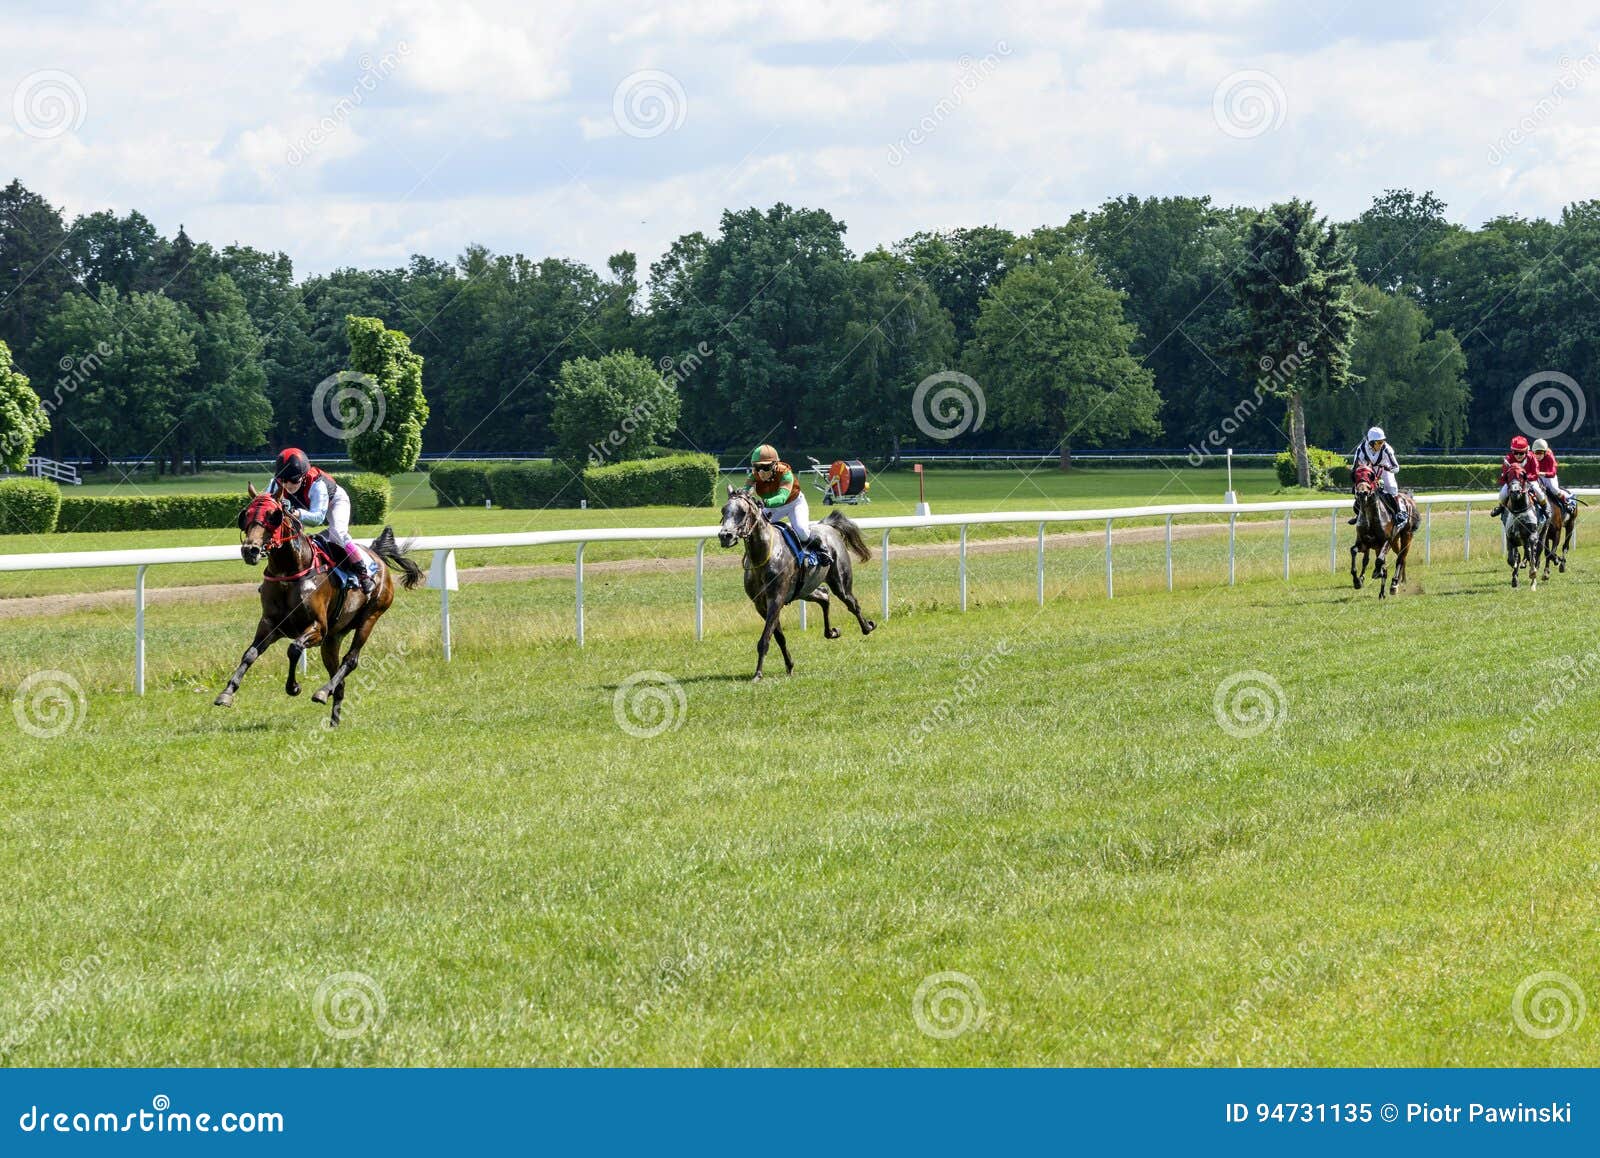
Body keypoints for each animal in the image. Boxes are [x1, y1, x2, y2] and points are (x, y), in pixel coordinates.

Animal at [214, 486, 425, 722]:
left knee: (350, 660)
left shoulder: (318, 627)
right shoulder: (270, 624)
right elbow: (249, 654)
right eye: (246, 515)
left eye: (273, 516)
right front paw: (226, 693)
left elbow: (294, 648)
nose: (249, 550)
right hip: (333, 638)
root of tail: (376, 555)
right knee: (339, 678)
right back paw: (334, 719)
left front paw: (293, 687)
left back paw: (323, 691)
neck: (289, 573)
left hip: (370, 616)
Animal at [720, 486, 876, 684]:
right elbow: (778, 636)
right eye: (723, 511)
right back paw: (832, 632)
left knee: (852, 603)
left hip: (840, 582)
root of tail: (826, 526)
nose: (725, 536)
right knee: (824, 596)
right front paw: (789, 665)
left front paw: (758, 674)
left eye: (742, 512)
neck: (764, 556)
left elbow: (765, 639)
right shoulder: (760, 604)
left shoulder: (776, 599)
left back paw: (867, 627)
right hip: (805, 590)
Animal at [1350, 467, 1414, 601]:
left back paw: (1395, 583)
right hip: (1394, 541)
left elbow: (1379, 562)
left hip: (1406, 536)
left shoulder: (1386, 541)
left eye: (1371, 476)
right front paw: (1357, 581)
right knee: (1398, 556)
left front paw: (1377, 573)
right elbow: (1354, 551)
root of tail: (1407, 497)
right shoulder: (1364, 543)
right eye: (1356, 476)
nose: (1362, 493)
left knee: (1401, 557)